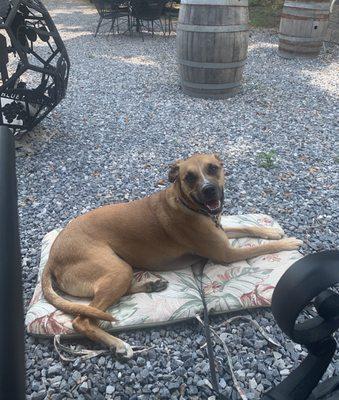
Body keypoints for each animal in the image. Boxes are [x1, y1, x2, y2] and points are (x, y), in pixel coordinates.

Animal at [42, 153, 302, 360]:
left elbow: (248, 227)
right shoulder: (226, 253)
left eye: (212, 168)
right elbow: (261, 248)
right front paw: (289, 242)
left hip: (120, 270)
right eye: (189, 177)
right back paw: (118, 344)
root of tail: (52, 257)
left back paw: (151, 285)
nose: (209, 190)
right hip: (116, 270)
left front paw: (272, 232)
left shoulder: (221, 232)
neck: (187, 204)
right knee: (81, 320)